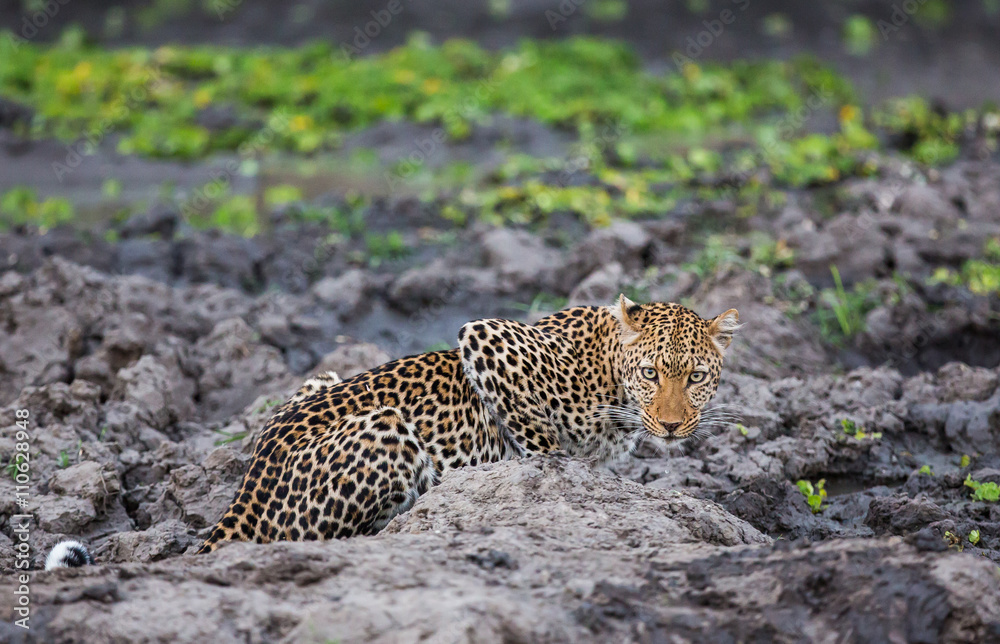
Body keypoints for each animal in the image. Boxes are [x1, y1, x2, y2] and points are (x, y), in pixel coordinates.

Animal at [195, 294, 740, 552]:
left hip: (319, 378)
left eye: (695, 377)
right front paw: (549, 474)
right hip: (389, 428)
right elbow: (539, 442)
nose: (670, 426)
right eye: (650, 373)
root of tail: (246, 488)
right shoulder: (486, 336)